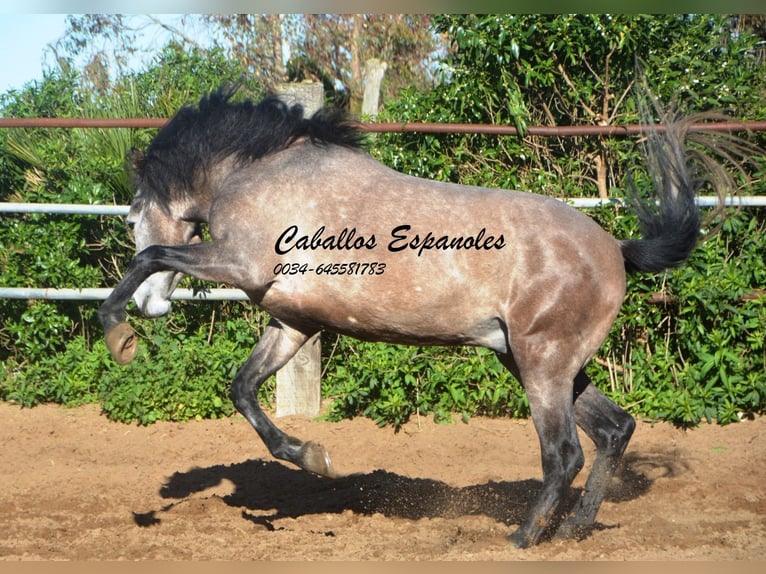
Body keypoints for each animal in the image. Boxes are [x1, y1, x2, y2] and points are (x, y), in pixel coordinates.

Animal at [100, 89, 728, 548]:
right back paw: (574, 529)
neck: (263, 172)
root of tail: (617, 250)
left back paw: (523, 538)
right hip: (538, 362)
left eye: (131, 218)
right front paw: (314, 458)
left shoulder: (239, 261)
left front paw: (118, 334)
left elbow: (150, 258)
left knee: (564, 453)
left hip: (542, 366)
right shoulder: (293, 325)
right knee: (615, 430)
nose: (152, 307)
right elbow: (244, 391)